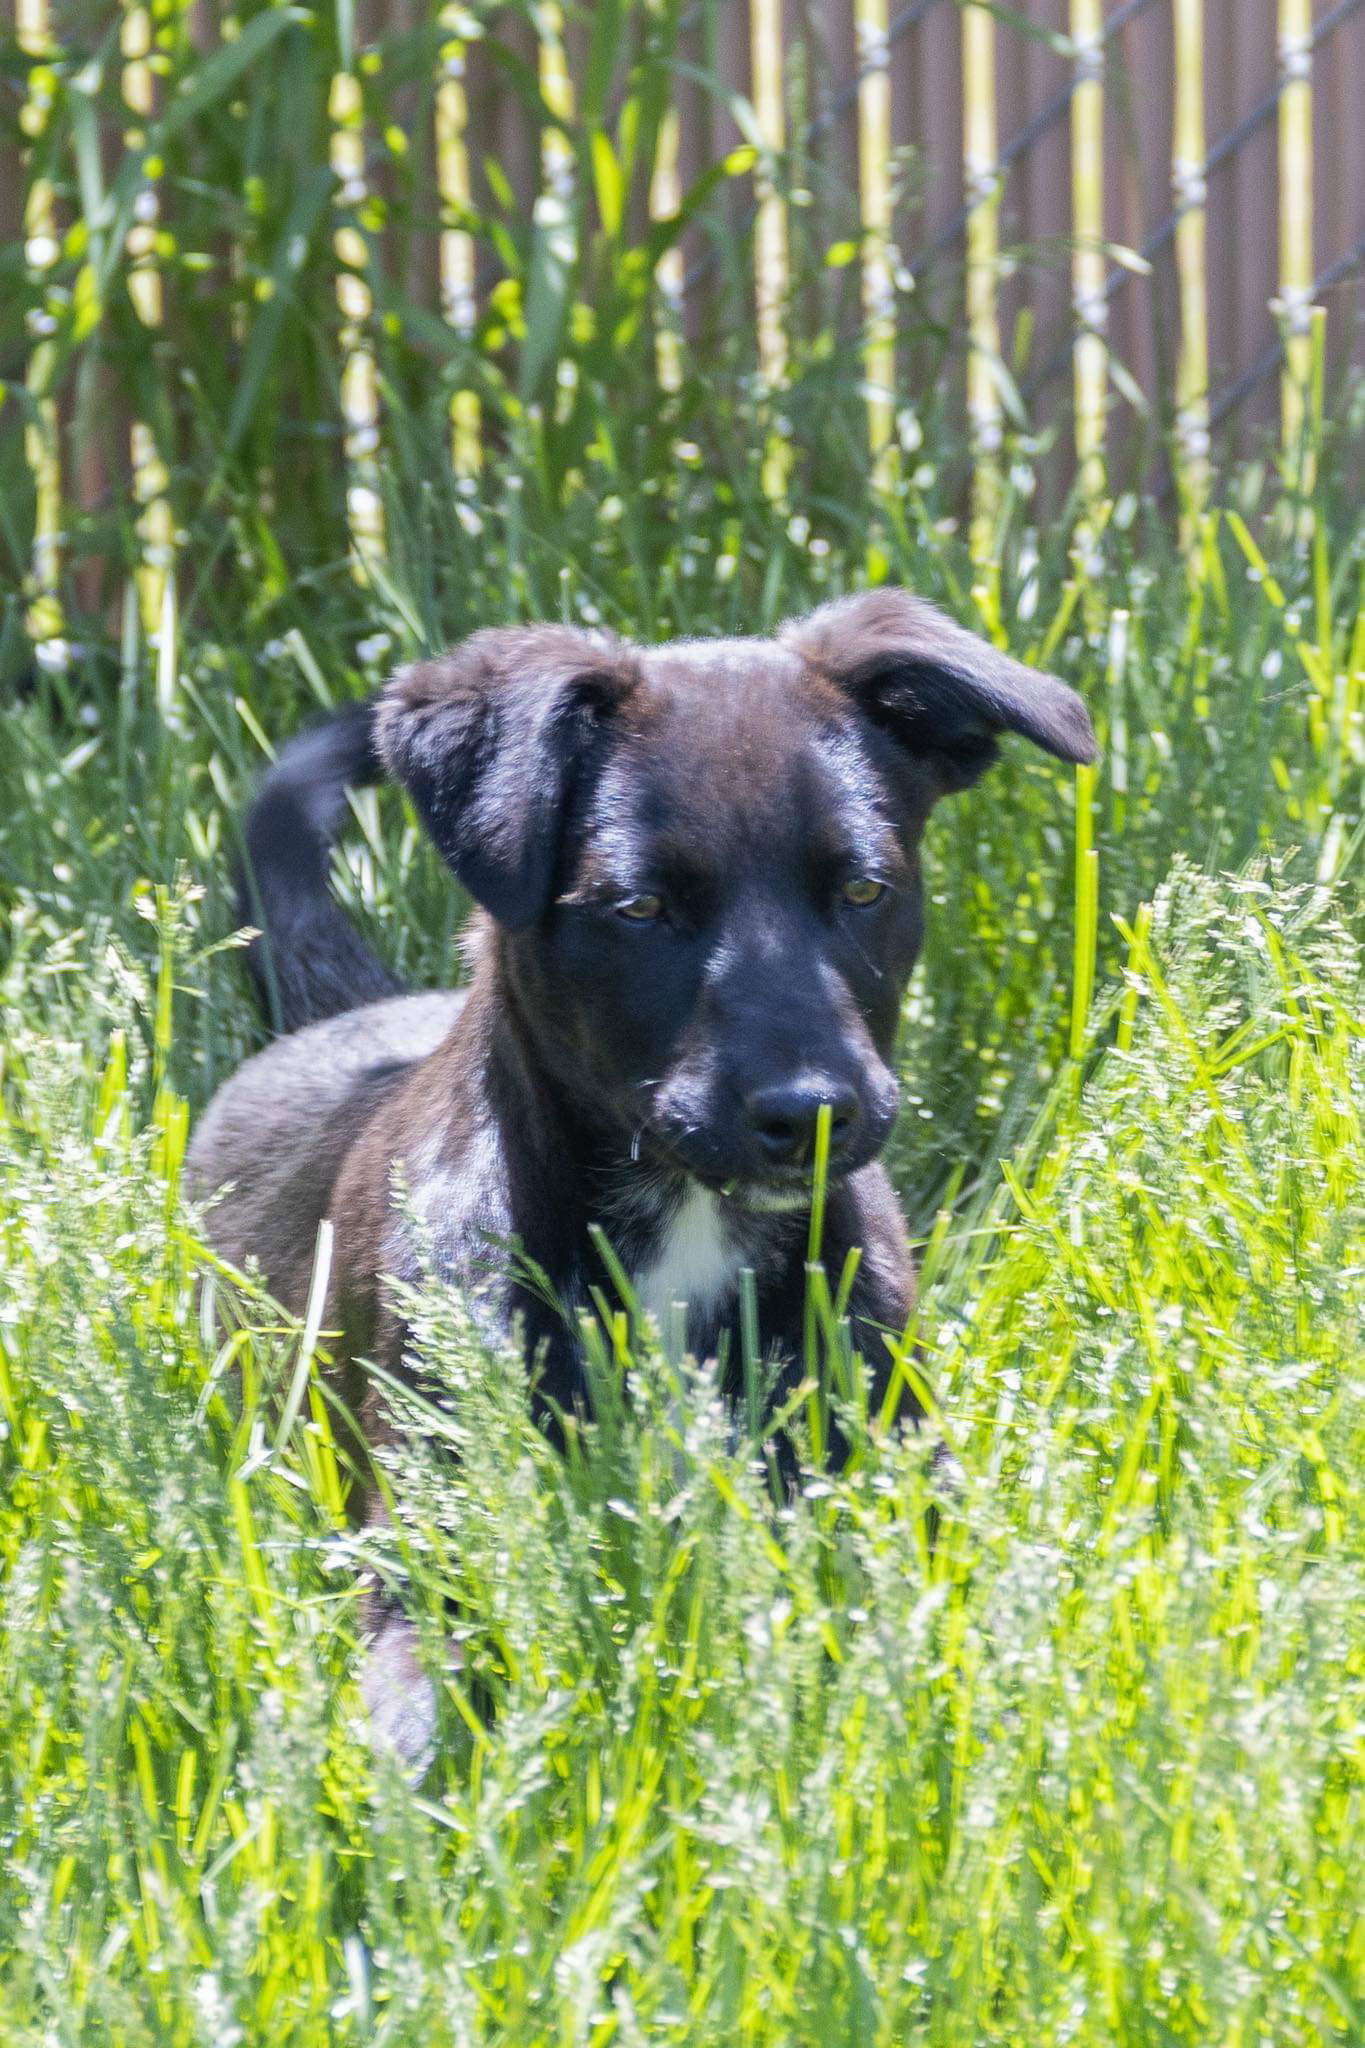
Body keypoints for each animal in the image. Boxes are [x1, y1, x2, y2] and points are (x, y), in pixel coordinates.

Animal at [189, 585, 1096, 1753]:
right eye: (637, 909)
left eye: (864, 886)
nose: (811, 1112)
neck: (684, 1229)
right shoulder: (434, 1546)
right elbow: (414, 1727)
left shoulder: (898, 1499)